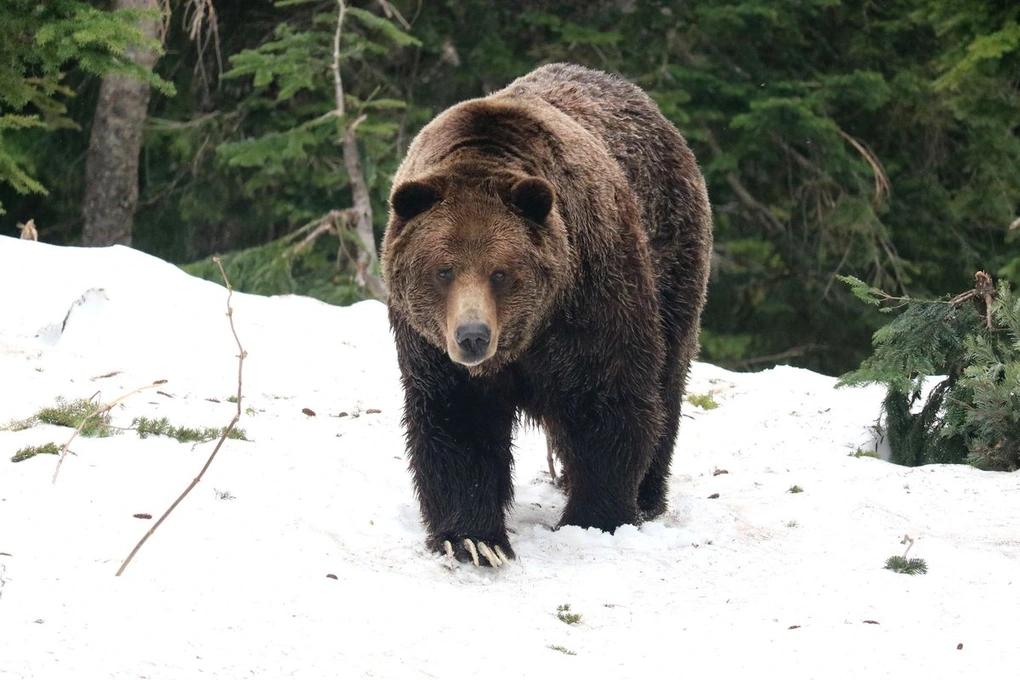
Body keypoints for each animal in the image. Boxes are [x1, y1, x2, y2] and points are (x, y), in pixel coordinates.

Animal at [381, 63, 709, 566]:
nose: (473, 336)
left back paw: (648, 495)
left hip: (672, 259)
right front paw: (473, 539)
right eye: (443, 270)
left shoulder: (589, 300)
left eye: (500, 272)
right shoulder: (431, 349)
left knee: (667, 380)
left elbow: (607, 403)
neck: (524, 337)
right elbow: (457, 423)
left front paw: (595, 516)